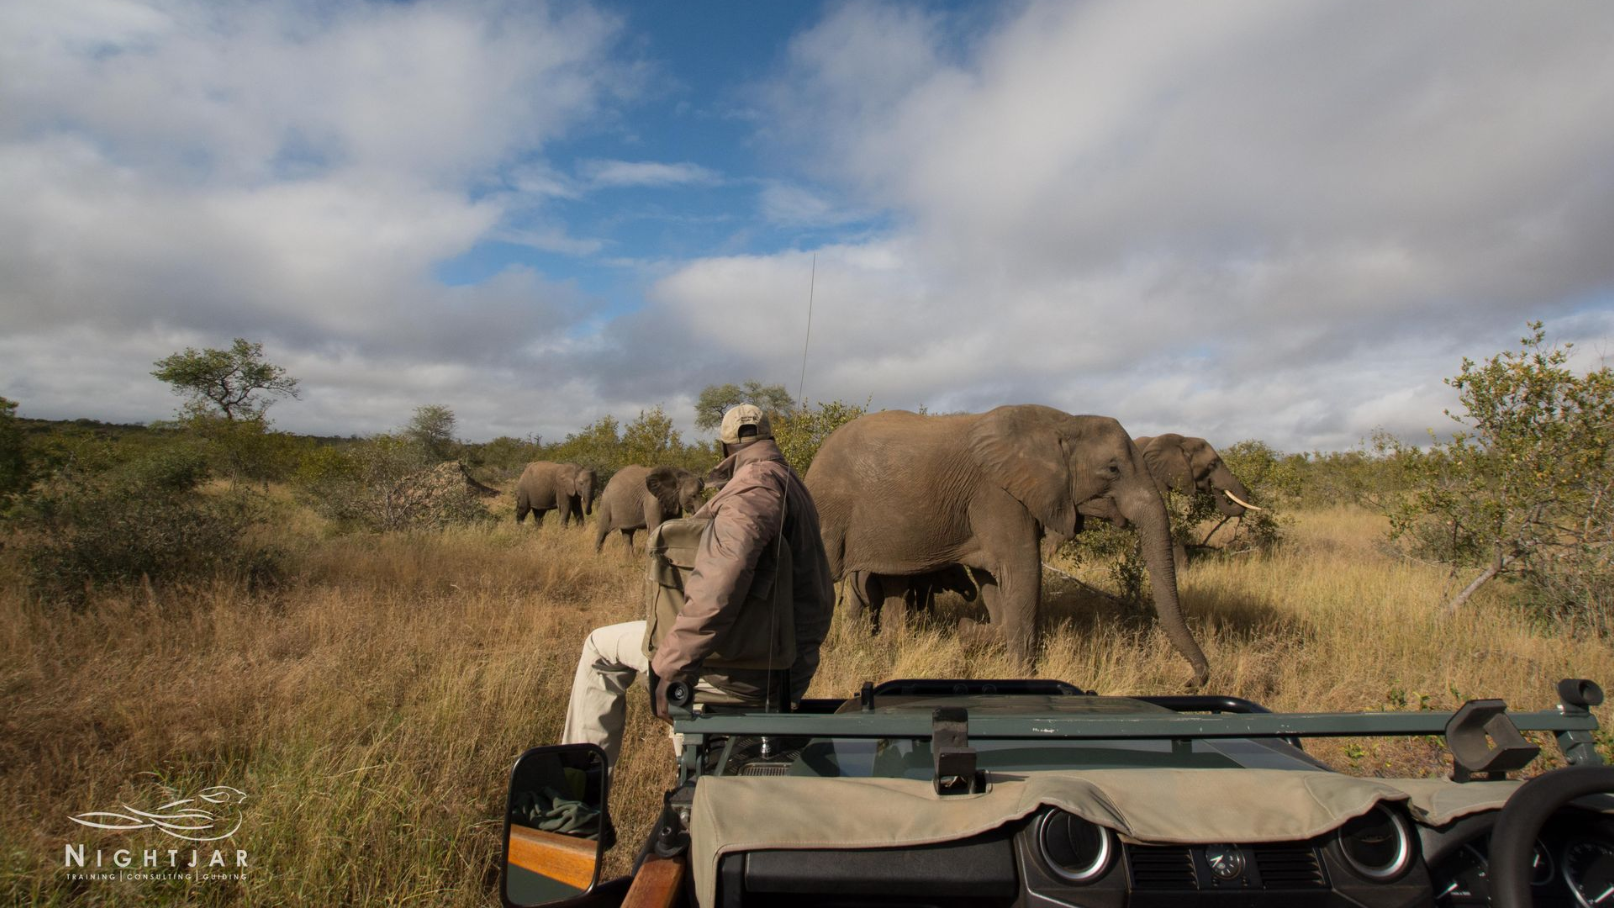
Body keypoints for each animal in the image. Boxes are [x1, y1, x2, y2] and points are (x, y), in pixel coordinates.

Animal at [806, 405, 1209, 683]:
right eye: (1113, 469)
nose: (1193, 682)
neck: (1062, 422)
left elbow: (993, 580)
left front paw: (971, 633)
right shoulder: (998, 496)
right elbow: (1023, 574)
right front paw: (1025, 678)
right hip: (826, 511)